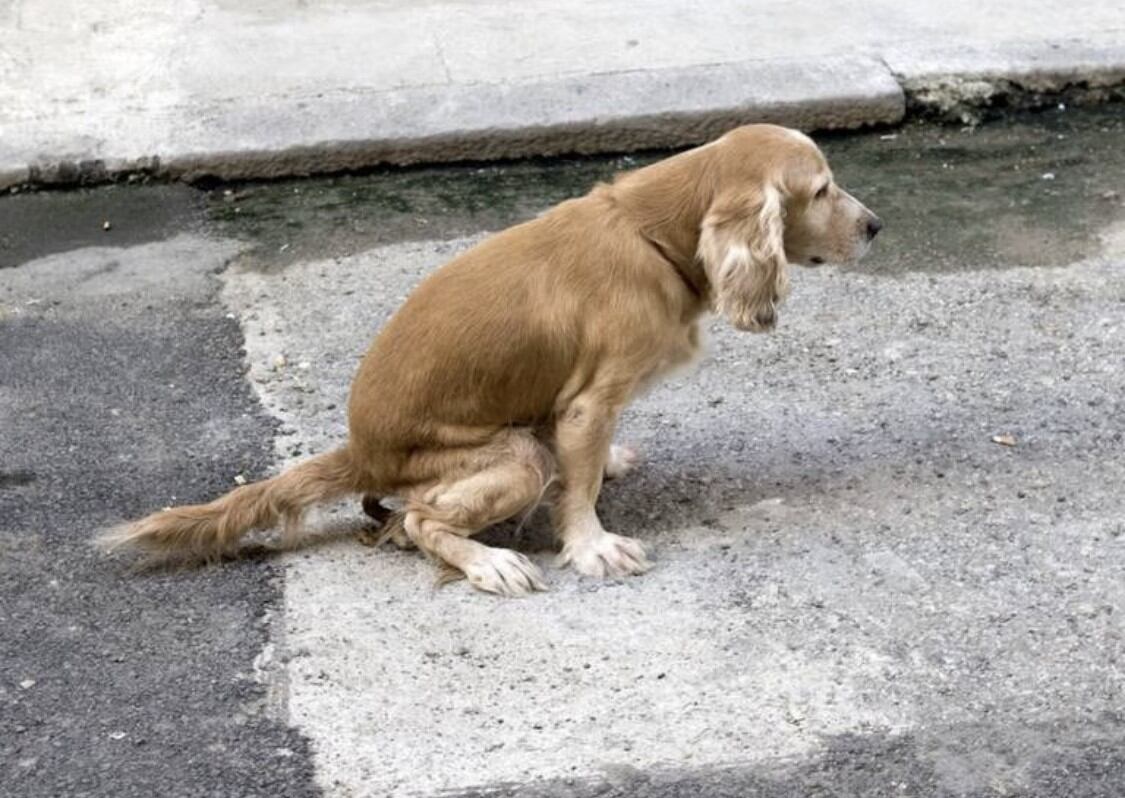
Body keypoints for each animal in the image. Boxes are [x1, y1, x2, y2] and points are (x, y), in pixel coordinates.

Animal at [99, 124, 877, 594]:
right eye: (820, 189)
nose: (875, 226)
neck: (653, 232)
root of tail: (362, 452)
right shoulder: (588, 402)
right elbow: (578, 489)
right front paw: (592, 546)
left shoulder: (578, 412)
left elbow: (589, 464)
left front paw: (609, 465)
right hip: (507, 459)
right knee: (421, 520)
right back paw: (491, 563)